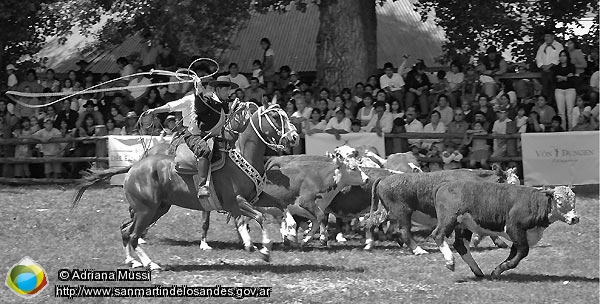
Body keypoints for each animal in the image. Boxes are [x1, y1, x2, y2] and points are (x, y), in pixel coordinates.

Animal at [70, 103, 300, 270]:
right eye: (276, 117)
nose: (295, 137)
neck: (242, 156)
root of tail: (134, 167)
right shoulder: (236, 202)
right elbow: (260, 217)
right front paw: (265, 249)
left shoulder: (256, 197)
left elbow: (281, 206)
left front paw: (290, 231)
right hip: (146, 210)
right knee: (133, 235)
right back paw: (150, 264)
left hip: (158, 208)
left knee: (126, 230)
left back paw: (133, 261)